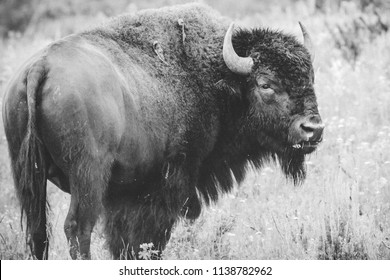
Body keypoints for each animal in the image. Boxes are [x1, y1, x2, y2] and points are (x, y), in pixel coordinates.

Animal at [0, 2, 322, 260]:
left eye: (310, 77)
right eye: (265, 84)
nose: (313, 129)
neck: (215, 78)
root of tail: (40, 66)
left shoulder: (123, 195)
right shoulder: (166, 188)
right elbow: (147, 241)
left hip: (27, 175)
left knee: (38, 232)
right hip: (87, 177)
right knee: (78, 228)